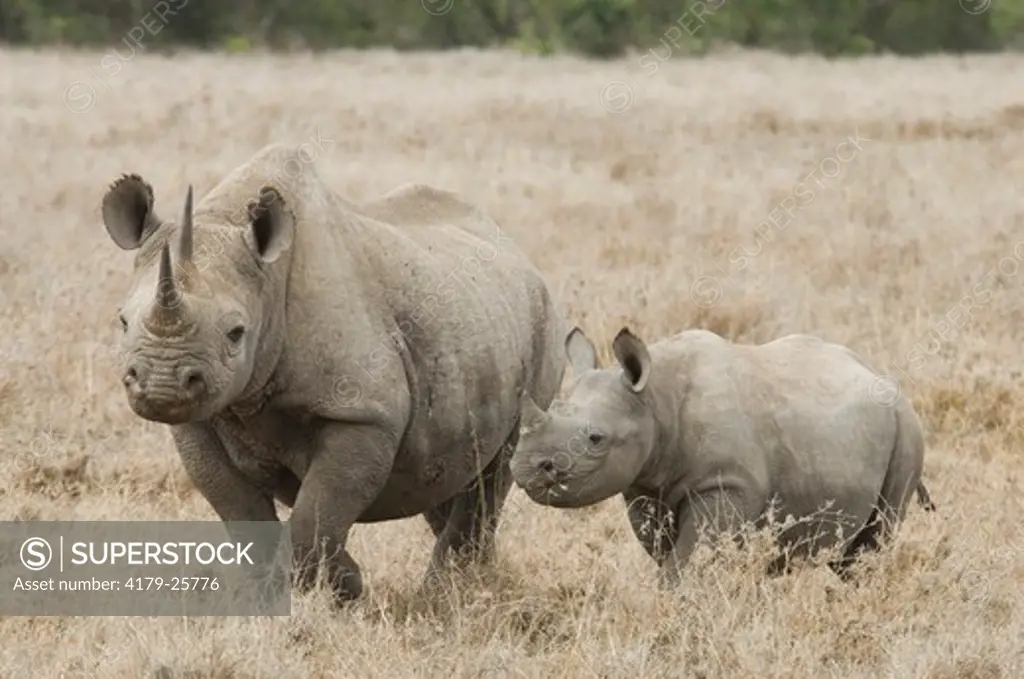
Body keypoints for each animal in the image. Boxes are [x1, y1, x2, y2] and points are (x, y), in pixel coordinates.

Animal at [98, 142, 565, 602]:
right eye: (122, 321)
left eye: (236, 333)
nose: (161, 387)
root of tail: (516, 251)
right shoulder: (198, 423)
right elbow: (240, 508)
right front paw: (290, 591)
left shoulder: (363, 413)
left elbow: (319, 510)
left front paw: (329, 590)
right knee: (449, 469)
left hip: (542, 322)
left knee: (496, 467)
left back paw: (453, 592)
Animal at [512, 325, 937, 585]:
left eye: (596, 438)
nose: (526, 467)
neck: (654, 400)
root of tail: (887, 383)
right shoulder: (644, 486)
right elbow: (665, 551)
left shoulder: (724, 484)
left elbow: (686, 559)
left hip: (908, 431)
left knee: (874, 536)